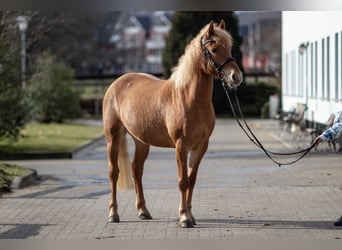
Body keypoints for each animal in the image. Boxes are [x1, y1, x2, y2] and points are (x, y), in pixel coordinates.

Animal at [102, 20, 243, 228]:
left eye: (230, 47)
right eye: (215, 49)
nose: (236, 77)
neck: (190, 99)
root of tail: (117, 83)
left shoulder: (200, 147)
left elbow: (192, 179)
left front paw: (191, 215)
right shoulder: (180, 146)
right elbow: (182, 181)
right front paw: (184, 217)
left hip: (141, 141)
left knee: (136, 170)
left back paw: (143, 211)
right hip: (113, 137)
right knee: (114, 173)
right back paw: (113, 214)